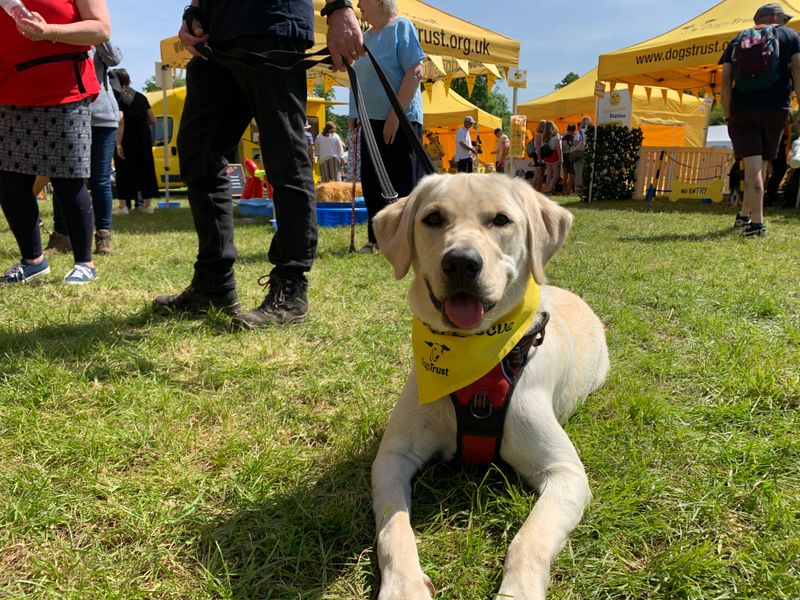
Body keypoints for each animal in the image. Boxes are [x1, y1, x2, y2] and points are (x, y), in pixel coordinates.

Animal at [372, 173, 608, 600]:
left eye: (501, 220)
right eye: (433, 218)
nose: (461, 262)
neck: (475, 367)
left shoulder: (565, 472)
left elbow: (528, 540)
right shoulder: (392, 458)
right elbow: (393, 527)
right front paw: (404, 587)